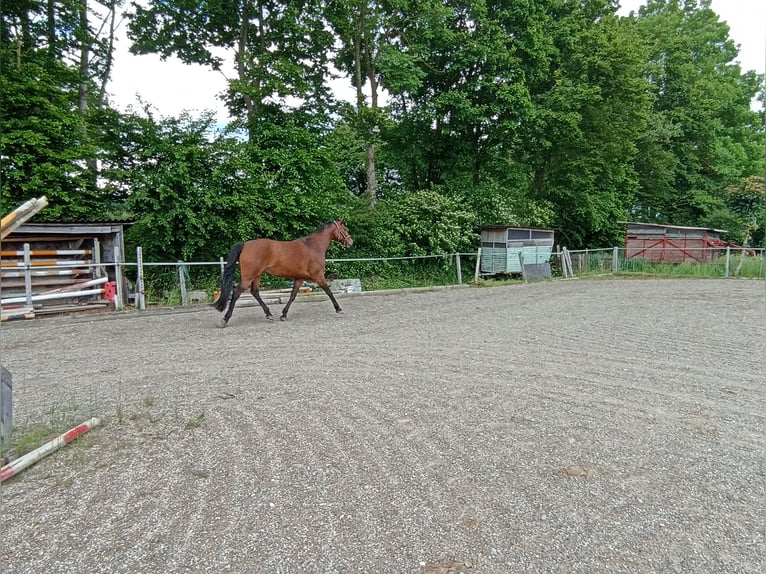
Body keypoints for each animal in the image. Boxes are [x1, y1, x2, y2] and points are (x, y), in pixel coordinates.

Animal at [212, 220, 352, 328]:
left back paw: (269, 314)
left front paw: (283, 315)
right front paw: (339, 309)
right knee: (236, 292)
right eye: (345, 229)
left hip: (257, 275)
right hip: (249, 276)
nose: (351, 242)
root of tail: (245, 244)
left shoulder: (299, 279)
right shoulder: (318, 276)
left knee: (255, 292)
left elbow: (292, 296)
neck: (313, 246)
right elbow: (329, 291)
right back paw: (224, 320)